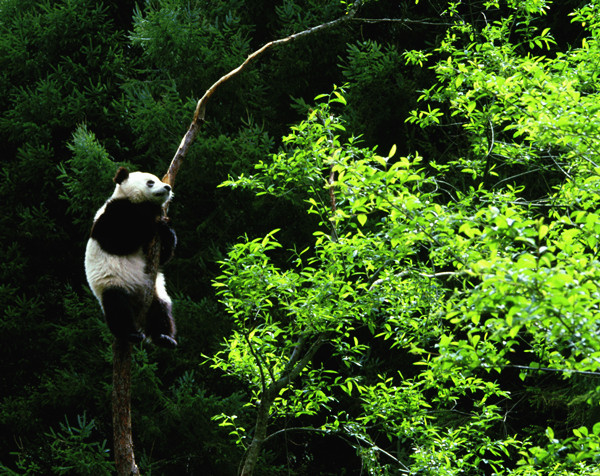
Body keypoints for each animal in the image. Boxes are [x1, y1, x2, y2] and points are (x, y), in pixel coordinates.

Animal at [85, 167, 177, 350]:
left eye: (159, 180)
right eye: (150, 182)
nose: (167, 187)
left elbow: (162, 257)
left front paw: (166, 227)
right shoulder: (112, 213)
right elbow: (118, 239)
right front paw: (151, 218)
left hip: (155, 290)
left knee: (161, 310)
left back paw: (164, 338)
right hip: (113, 282)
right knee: (117, 306)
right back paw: (131, 334)